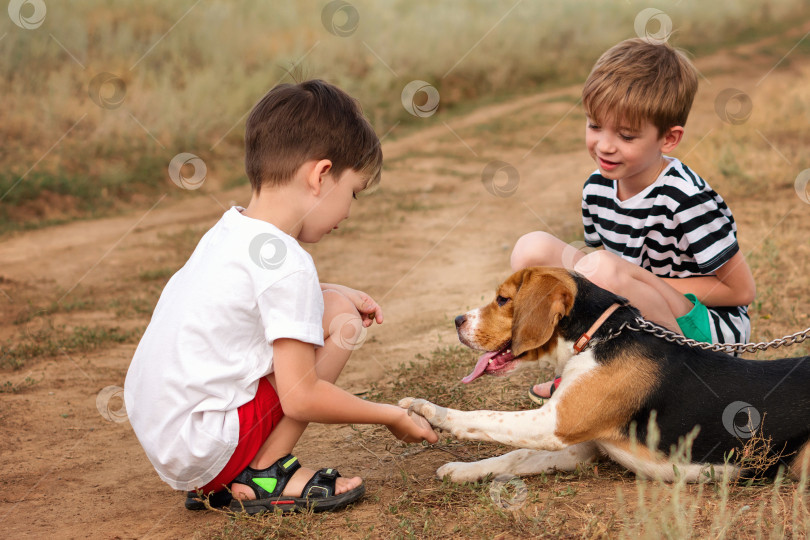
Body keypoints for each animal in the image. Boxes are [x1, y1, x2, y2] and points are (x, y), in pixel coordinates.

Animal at [400, 268, 808, 484]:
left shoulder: (556, 422)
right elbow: (514, 456)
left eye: (502, 299)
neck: (598, 336)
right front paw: (462, 470)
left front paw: (426, 410)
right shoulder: (582, 447)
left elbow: (483, 418)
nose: (457, 320)